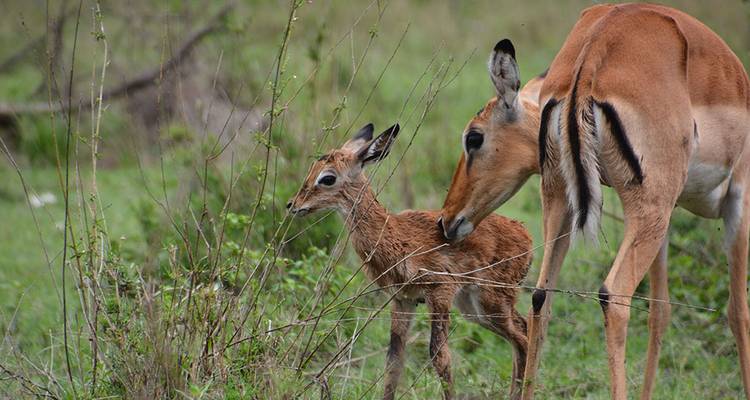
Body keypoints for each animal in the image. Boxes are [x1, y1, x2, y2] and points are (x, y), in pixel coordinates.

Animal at [287, 123, 533, 399]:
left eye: (327, 178)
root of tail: (524, 232)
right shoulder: (403, 300)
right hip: (473, 307)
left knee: (523, 337)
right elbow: (394, 361)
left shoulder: (439, 293)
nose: (293, 204)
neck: (394, 235)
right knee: (522, 330)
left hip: (491, 301)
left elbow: (440, 357)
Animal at [438, 3, 750, 399]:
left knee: (541, 297)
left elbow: (661, 310)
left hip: (564, 199)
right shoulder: (737, 199)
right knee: (614, 296)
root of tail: (592, 58)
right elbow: (738, 311)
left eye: (474, 137)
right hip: (648, 209)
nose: (445, 220)